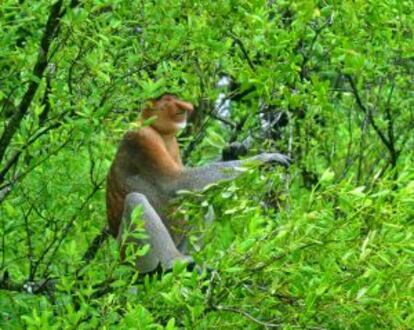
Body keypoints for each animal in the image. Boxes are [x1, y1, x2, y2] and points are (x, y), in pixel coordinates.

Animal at [105, 93, 290, 274]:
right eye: (169, 99)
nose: (187, 108)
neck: (158, 131)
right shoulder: (143, 138)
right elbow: (176, 182)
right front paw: (265, 158)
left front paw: (232, 151)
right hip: (131, 253)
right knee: (135, 200)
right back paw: (173, 263)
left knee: (202, 203)